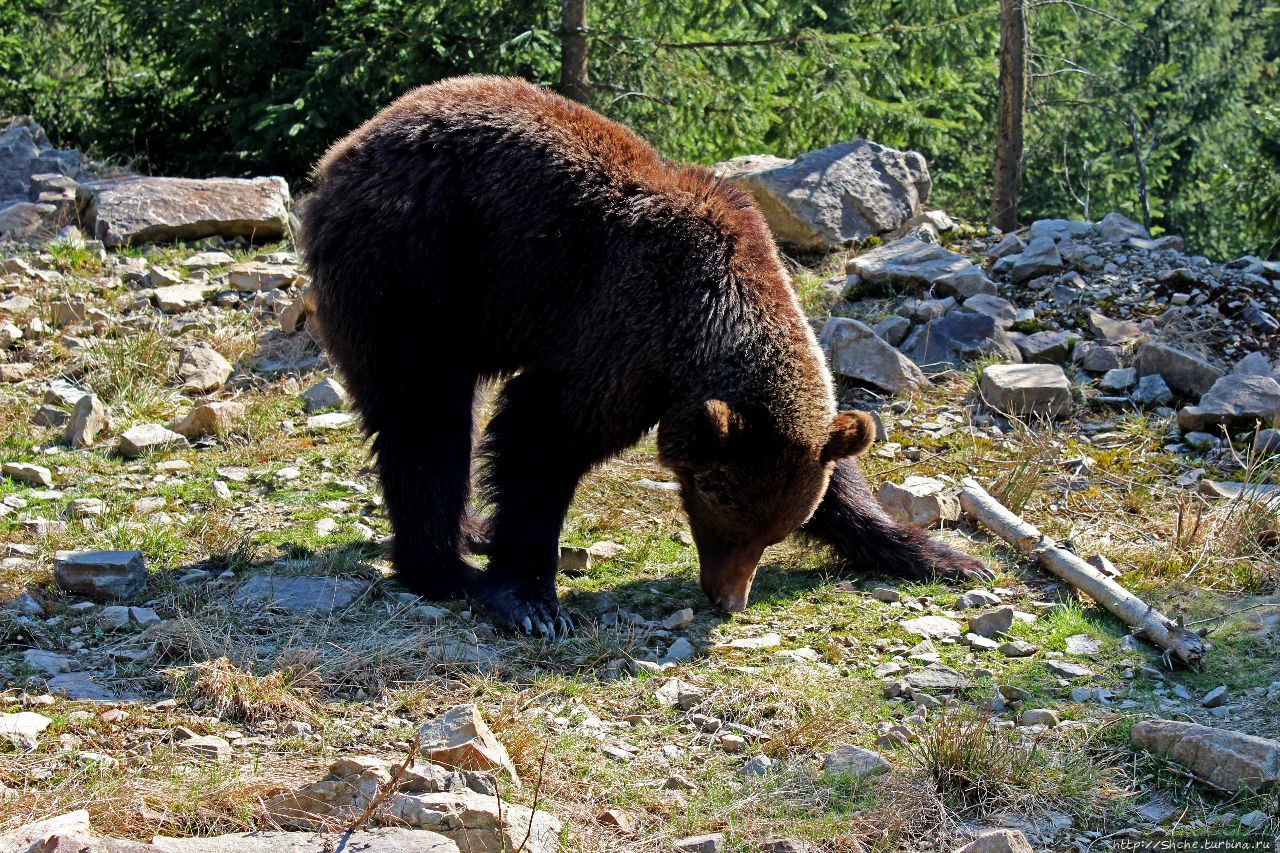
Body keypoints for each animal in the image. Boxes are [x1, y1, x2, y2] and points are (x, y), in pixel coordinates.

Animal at [304, 76, 983, 635]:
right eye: (722, 516)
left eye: (775, 531)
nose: (727, 600)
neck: (706, 319)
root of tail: (343, 151)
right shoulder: (621, 328)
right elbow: (539, 435)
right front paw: (529, 598)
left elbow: (839, 475)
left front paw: (940, 555)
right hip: (412, 274)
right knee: (424, 415)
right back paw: (445, 567)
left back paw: (469, 531)